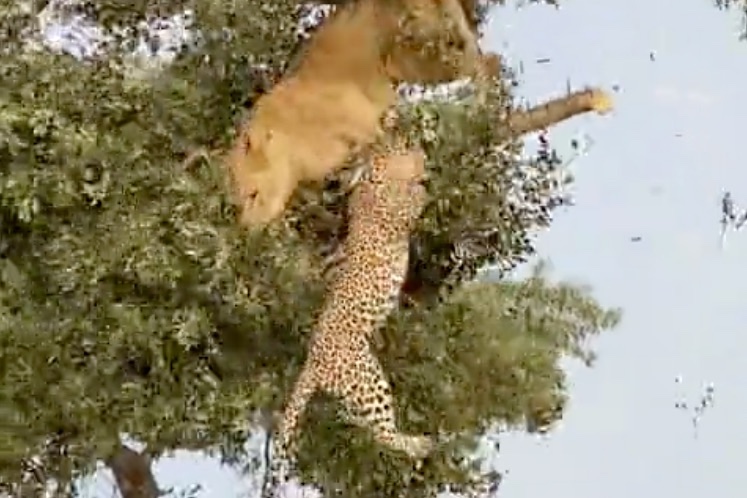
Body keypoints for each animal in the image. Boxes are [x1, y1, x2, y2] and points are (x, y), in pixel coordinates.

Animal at [261, 139, 431, 498]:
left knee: (361, 423)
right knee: (381, 432)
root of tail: (311, 363)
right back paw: (419, 444)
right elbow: (409, 203)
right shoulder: (392, 213)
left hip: (355, 390)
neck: (370, 183)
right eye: (399, 148)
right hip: (367, 376)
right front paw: (420, 184)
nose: (419, 151)